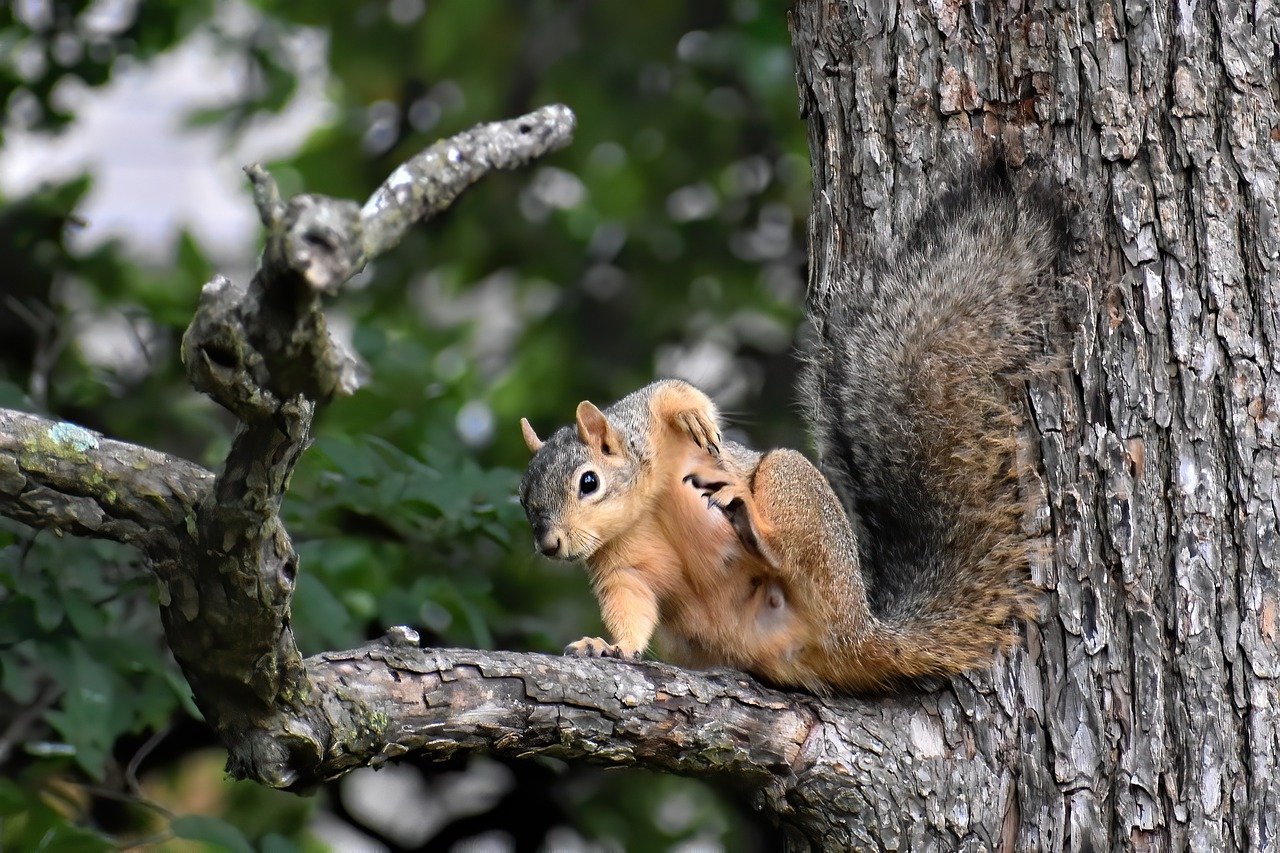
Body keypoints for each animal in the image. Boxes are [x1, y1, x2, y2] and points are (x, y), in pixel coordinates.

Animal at [514, 163, 1064, 691]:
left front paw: (695, 416)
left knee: (792, 552)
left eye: (589, 482)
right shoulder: (621, 565)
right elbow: (630, 606)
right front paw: (608, 647)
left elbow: (673, 391)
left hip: (794, 489)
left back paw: (753, 525)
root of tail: (859, 632)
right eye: (523, 499)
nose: (549, 545)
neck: (642, 505)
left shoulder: (646, 418)